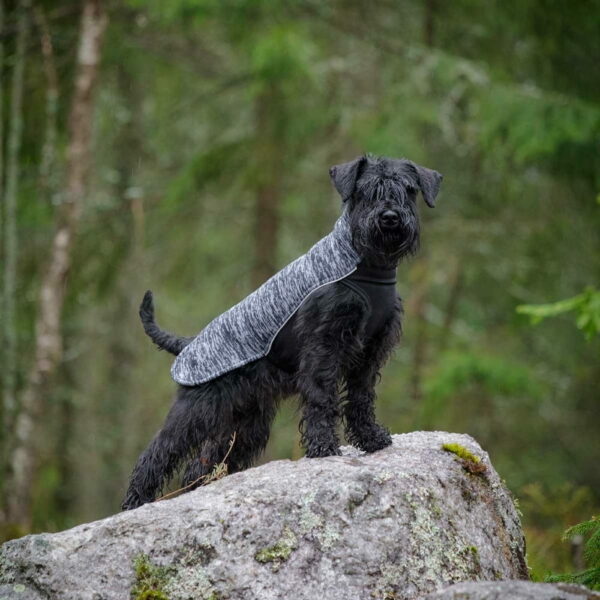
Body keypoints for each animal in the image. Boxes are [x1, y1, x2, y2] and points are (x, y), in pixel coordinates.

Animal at [122, 155, 440, 510]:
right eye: (366, 190)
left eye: (408, 189)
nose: (389, 217)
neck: (369, 265)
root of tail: (189, 343)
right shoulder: (323, 346)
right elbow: (322, 397)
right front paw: (323, 447)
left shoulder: (370, 352)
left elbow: (361, 398)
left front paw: (371, 438)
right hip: (196, 411)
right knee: (158, 452)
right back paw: (136, 501)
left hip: (246, 423)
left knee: (200, 464)